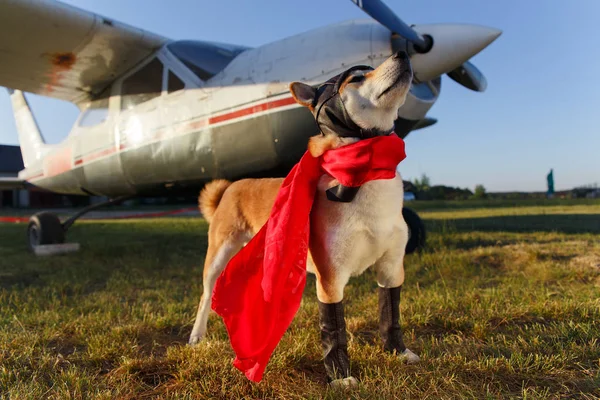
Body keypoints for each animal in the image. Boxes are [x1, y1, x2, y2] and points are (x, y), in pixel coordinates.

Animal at [190, 51, 420, 386]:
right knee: (207, 295)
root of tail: (231, 186)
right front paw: (340, 376)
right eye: (357, 78)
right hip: (218, 256)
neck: (365, 172)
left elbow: (391, 315)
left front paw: (398, 352)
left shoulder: (391, 268)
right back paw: (197, 335)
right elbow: (334, 330)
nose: (402, 52)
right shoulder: (331, 276)